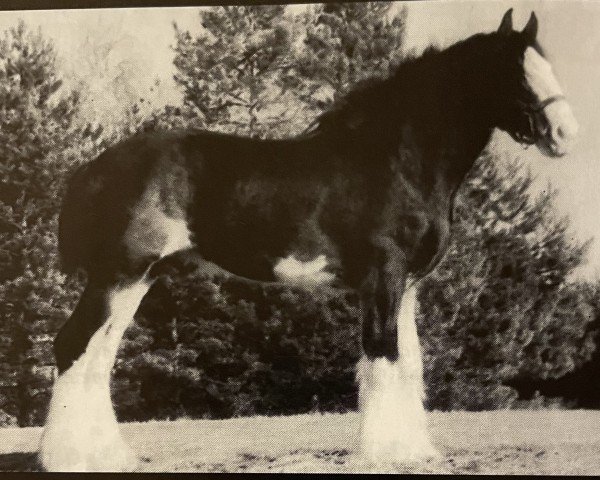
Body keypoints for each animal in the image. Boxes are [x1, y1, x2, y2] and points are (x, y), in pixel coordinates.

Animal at [37, 8, 576, 472]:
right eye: (517, 72)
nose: (565, 133)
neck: (396, 162)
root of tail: (93, 168)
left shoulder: (407, 286)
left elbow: (409, 365)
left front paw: (414, 452)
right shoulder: (382, 278)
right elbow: (382, 358)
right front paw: (384, 455)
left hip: (137, 280)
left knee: (97, 358)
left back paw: (108, 456)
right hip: (116, 277)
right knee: (73, 347)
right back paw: (66, 459)